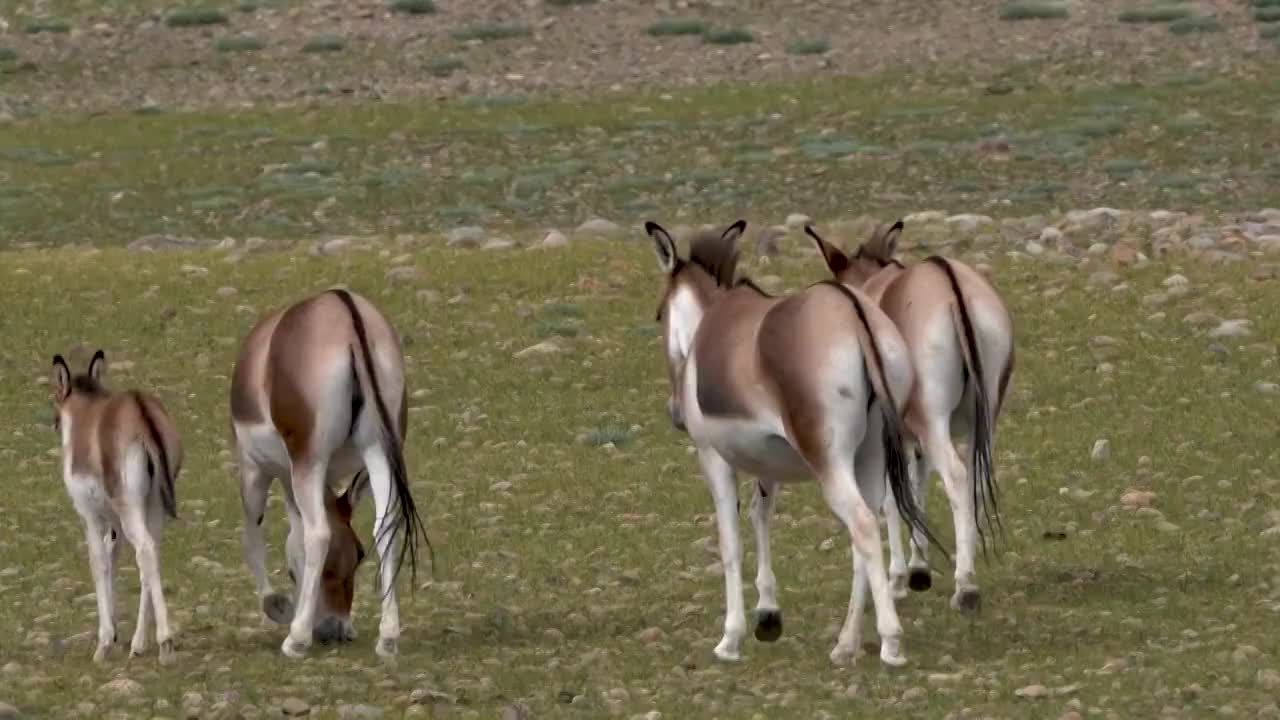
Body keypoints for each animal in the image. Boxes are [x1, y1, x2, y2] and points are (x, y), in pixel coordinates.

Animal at [52, 348, 181, 661]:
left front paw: (104, 642)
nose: (54, 422)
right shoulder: (115, 527)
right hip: (152, 508)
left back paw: (165, 641)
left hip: (131, 510)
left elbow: (98, 563)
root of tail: (140, 412)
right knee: (151, 554)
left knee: (145, 550)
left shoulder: (90, 517)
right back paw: (139, 644)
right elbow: (112, 559)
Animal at [230, 285, 430, 655]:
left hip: (310, 460)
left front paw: (279, 609)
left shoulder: (256, 470)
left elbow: (255, 538)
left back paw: (296, 641)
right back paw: (388, 637)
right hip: (378, 449)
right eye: (360, 553)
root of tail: (345, 310)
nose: (335, 628)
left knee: (318, 532)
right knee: (386, 523)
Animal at [645, 220, 947, 666]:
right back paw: (845, 643)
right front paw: (768, 615)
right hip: (870, 456)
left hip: (830, 462)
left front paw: (730, 639)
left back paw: (890, 642)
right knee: (866, 530)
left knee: (862, 525)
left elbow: (730, 543)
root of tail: (855, 315)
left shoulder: (712, 457)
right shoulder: (767, 463)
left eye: (659, 314)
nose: (675, 413)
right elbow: (760, 517)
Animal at [814, 221, 1013, 607]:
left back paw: (965, 585)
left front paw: (899, 578)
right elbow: (917, 486)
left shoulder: (891, 437)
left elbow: (893, 499)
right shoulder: (914, 438)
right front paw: (920, 567)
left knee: (956, 477)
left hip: (935, 422)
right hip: (984, 419)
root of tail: (949, 281)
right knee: (976, 479)